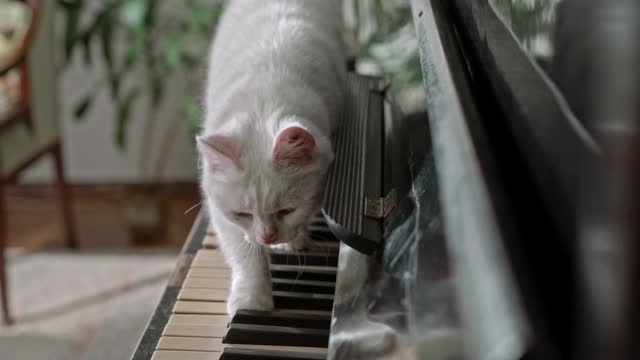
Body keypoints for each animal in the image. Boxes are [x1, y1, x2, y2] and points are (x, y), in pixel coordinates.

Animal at [196, 0, 344, 316]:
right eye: (243, 214)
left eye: (287, 210)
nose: (268, 237)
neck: (263, 101)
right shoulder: (221, 213)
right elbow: (246, 256)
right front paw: (251, 304)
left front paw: (293, 241)